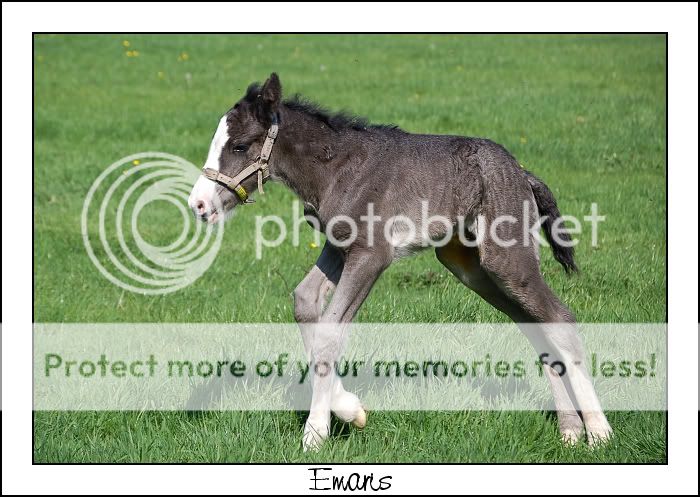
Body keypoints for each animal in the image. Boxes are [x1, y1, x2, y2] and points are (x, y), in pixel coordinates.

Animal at [189, 72, 608, 450]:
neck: (335, 168)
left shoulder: (372, 254)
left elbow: (330, 330)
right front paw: (349, 408)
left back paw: (599, 433)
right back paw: (570, 430)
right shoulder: (338, 247)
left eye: (240, 146)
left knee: (560, 319)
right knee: (534, 322)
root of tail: (522, 173)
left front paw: (315, 433)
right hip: (469, 267)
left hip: (506, 258)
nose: (199, 205)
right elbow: (305, 301)